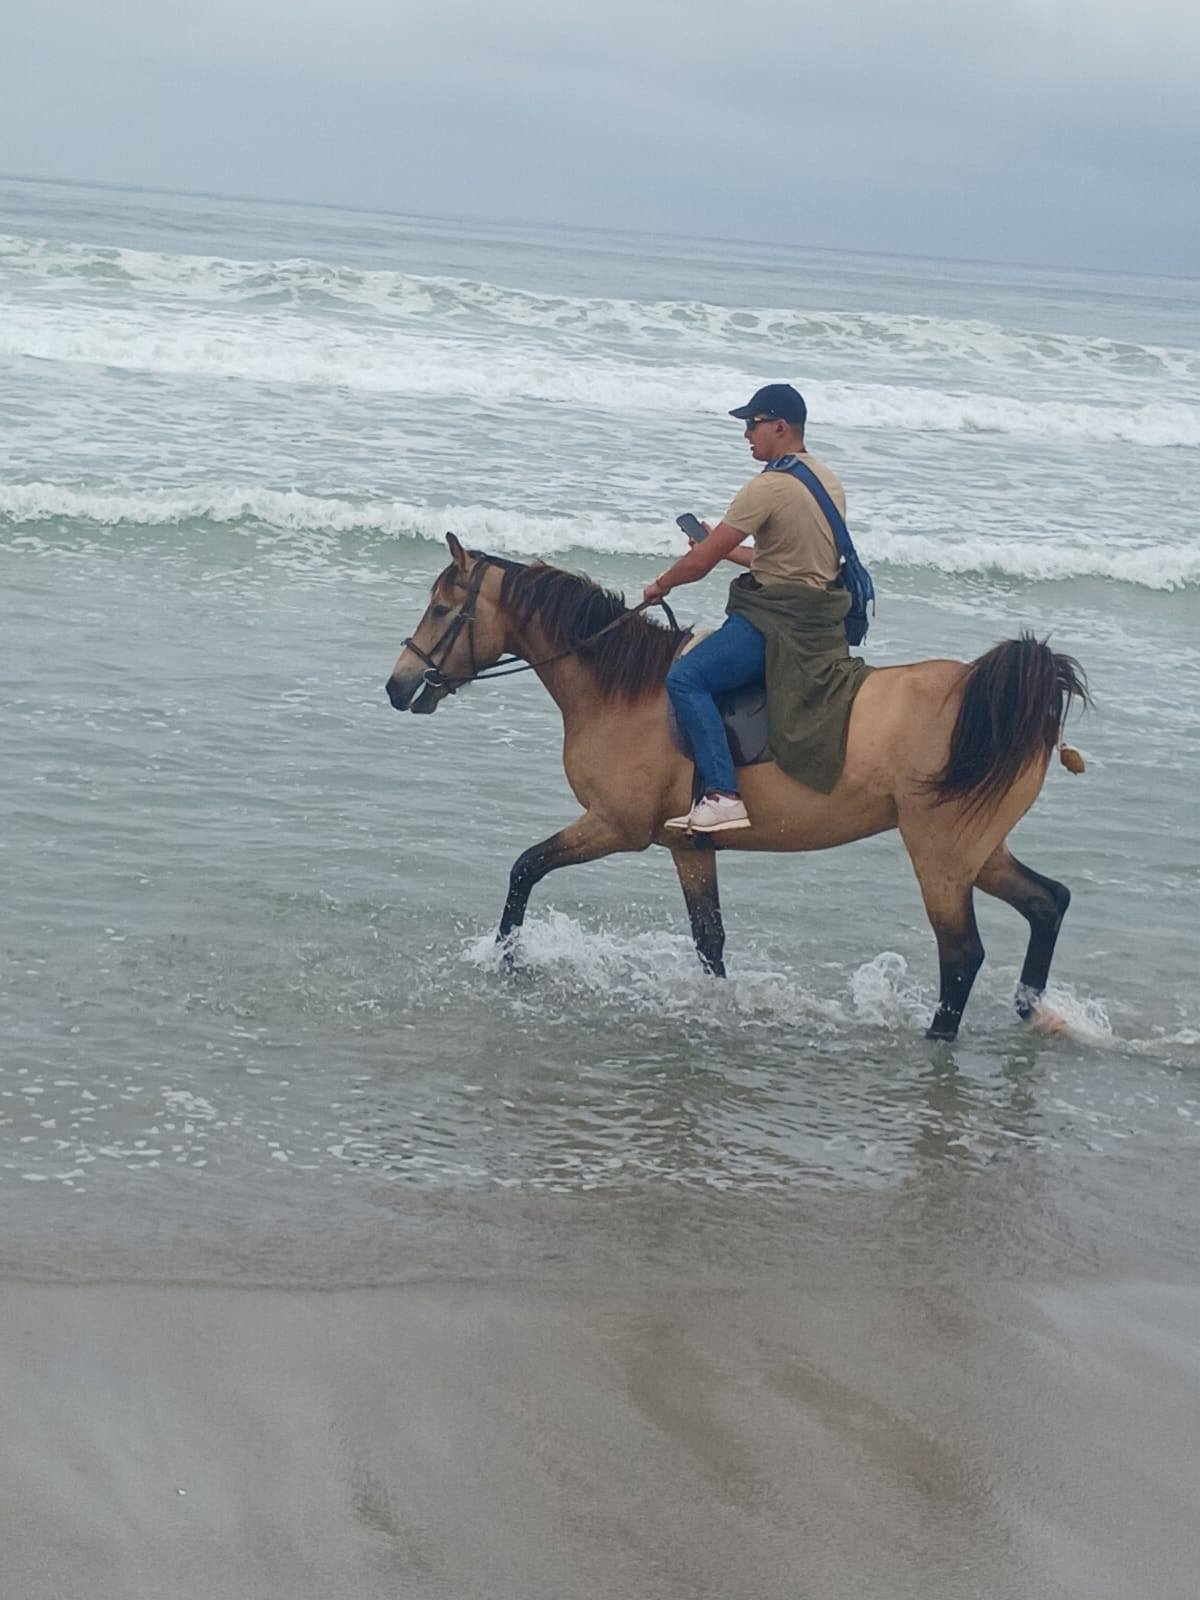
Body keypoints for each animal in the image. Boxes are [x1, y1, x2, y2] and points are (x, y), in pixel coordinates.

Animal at [386, 534, 1089, 1040]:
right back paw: (1034, 1011)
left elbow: (524, 869)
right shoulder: (687, 846)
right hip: (977, 850)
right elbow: (710, 940)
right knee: (1047, 902)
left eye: (442, 610)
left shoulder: (616, 827)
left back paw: (940, 1039)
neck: (627, 690)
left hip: (940, 857)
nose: (397, 685)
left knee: (962, 954)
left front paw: (508, 958)